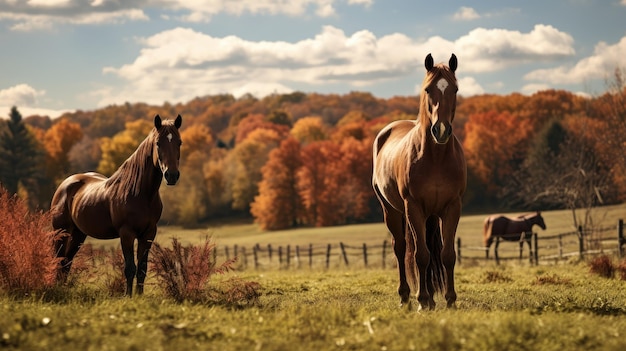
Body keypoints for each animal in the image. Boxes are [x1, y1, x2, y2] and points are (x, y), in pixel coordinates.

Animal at [50, 115, 180, 296]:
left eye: (179, 142)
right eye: (158, 143)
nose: (172, 175)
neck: (140, 193)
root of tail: (65, 185)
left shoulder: (148, 234)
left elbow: (142, 268)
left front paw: (139, 296)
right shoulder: (126, 233)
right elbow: (130, 268)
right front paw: (128, 296)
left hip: (78, 234)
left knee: (66, 262)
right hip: (61, 232)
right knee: (59, 259)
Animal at [370, 53, 464, 312]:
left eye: (455, 89)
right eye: (428, 89)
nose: (440, 130)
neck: (435, 157)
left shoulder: (452, 207)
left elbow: (447, 254)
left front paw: (450, 300)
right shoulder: (413, 207)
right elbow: (420, 255)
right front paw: (421, 300)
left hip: (430, 216)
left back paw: (431, 297)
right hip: (392, 211)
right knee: (401, 248)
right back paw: (406, 297)